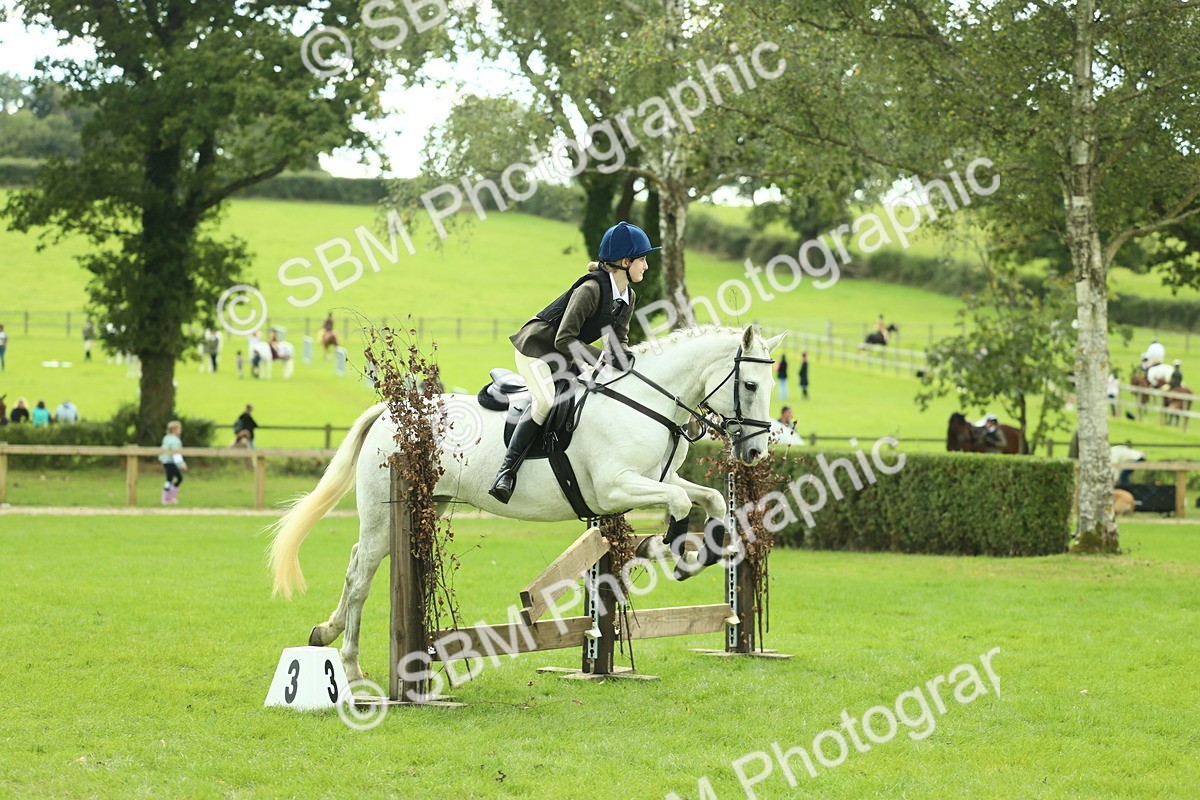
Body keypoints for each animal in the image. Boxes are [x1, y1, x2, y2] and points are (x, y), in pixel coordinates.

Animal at [268, 325, 784, 681]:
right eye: (751, 385)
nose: (756, 454)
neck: (644, 402)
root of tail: (393, 413)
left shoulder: (657, 478)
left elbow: (709, 497)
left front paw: (702, 551)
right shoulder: (615, 487)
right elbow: (678, 503)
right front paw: (670, 550)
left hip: (426, 504)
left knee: (359, 563)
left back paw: (325, 633)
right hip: (383, 510)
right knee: (361, 574)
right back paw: (350, 665)